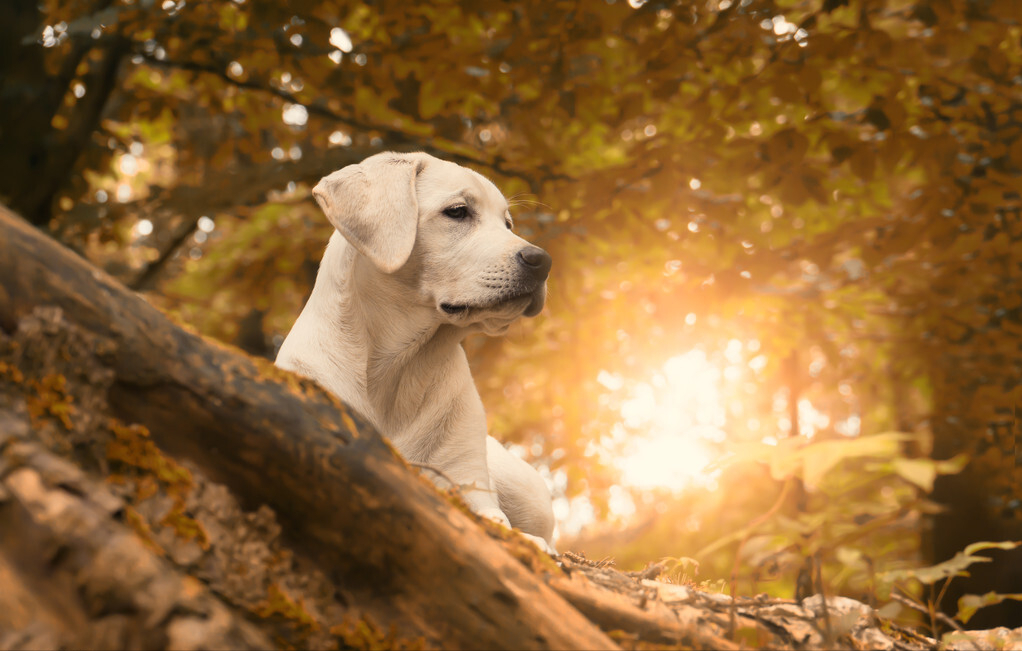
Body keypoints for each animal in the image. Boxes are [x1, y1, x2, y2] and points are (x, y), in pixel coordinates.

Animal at [275, 150, 555, 551]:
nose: (542, 261)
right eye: (458, 211)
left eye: (508, 223)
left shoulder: (465, 478)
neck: (400, 365)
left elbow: (495, 518)